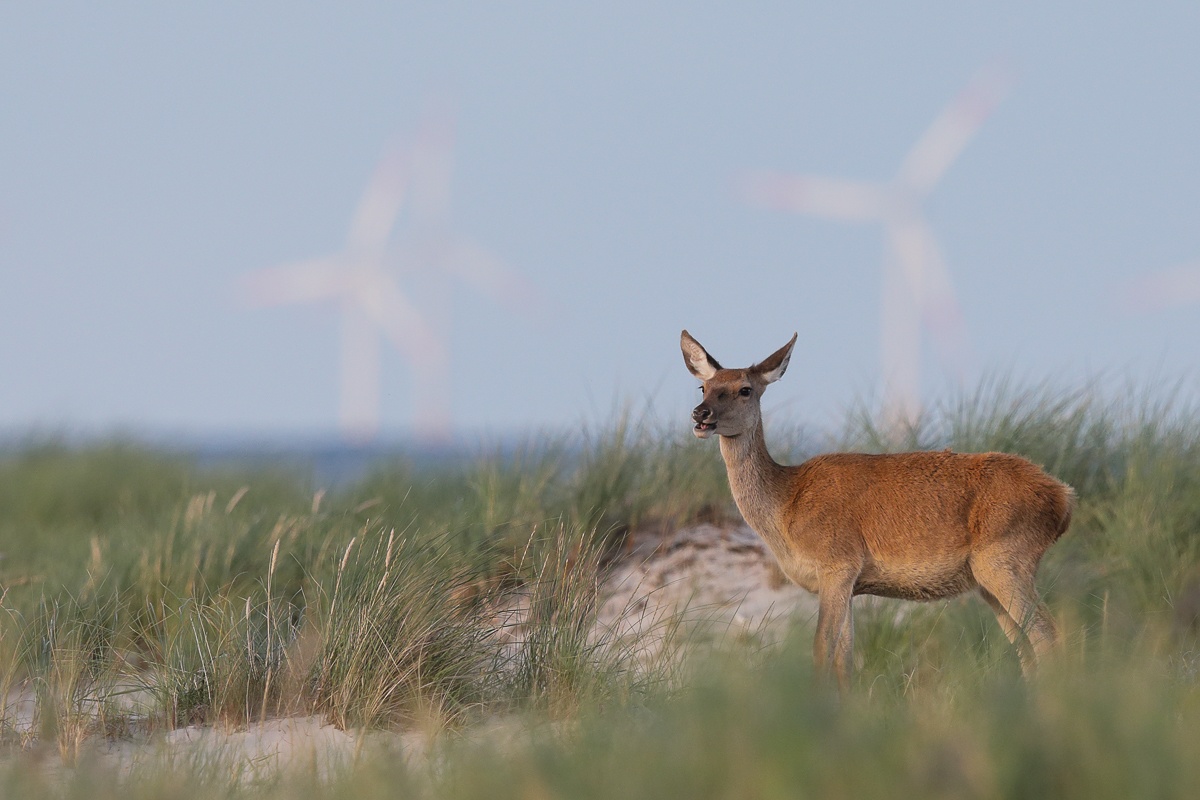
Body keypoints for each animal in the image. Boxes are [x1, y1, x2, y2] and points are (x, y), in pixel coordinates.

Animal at [681, 328, 1075, 690]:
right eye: (704, 387)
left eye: (745, 389)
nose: (701, 414)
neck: (785, 508)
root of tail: (1063, 498)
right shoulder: (850, 583)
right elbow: (846, 660)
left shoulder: (837, 562)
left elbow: (821, 650)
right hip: (988, 579)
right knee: (1026, 645)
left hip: (1004, 558)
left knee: (1048, 636)